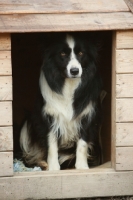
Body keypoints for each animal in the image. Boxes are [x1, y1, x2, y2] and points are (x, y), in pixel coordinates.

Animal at [19, 32, 103, 170]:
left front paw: (82, 167)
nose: (74, 71)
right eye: (62, 54)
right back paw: (42, 163)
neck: (69, 84)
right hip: (28, 122)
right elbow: (51, 143)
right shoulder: (48, 116)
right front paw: (53, 168)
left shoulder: (87, 115)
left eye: (81, 53)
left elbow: (83, 143)